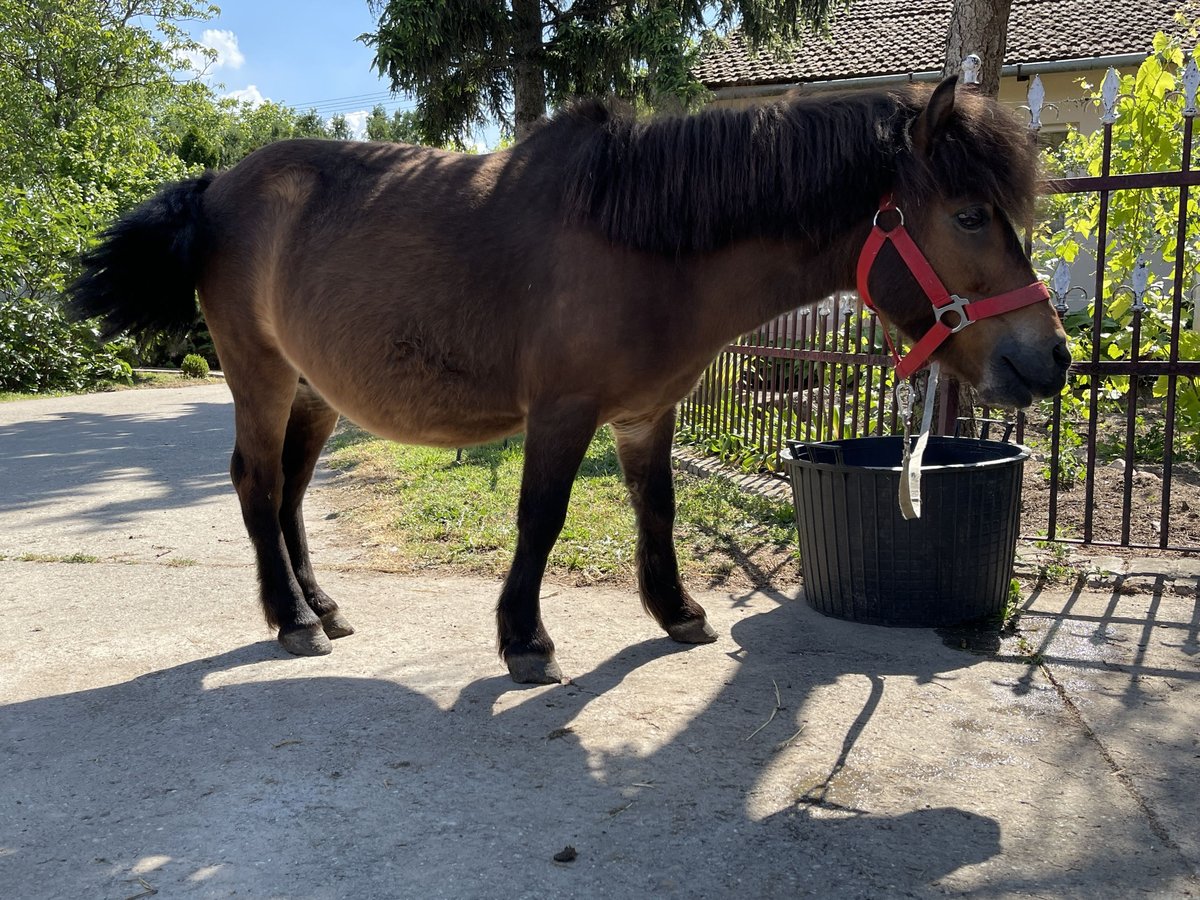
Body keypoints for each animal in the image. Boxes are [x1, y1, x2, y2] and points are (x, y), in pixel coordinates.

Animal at [72, 81, 1070, 681]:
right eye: (971, 215)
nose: (1051, 358)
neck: (644, 242)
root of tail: (214, 187)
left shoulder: (645, 416)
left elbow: (656, 511)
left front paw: (677, 612)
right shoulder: (562, 411)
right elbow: (540, 519)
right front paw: (524, 639)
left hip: (316, 392)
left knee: (287, 492)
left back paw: (319, 604)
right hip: (261, 374)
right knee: (255, 482)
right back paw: (290, 620)